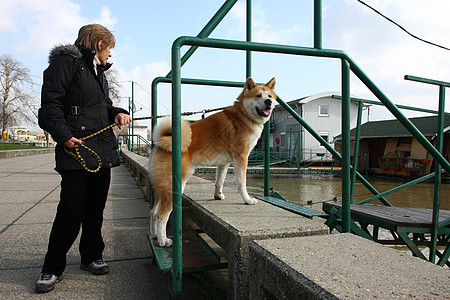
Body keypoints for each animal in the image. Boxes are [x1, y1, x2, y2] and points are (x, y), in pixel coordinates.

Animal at [149, 77, 274, 246]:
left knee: (153, 211)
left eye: (270, 96)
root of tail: (161, 143)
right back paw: (163, 241)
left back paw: (155, 235)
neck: (243, 116)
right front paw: (247, 200)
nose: (269, 101)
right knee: (162, 215)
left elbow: (219, 181)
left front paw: (218, 196)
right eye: (258, 96)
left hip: (161, 187)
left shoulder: (224, 162)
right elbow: (242, 184)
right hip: (174, 186)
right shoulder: (241, 157)